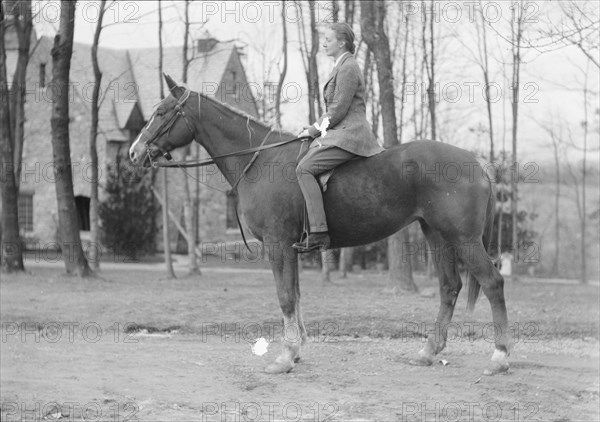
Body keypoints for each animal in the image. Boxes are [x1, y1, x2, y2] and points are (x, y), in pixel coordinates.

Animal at [127, 76, 510, 376]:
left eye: (162, 112)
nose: (134, 152)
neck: (260, 160)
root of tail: (476, 162)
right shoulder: (290, 248)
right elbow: (295, 295)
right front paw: (295, 351)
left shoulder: (277, 244)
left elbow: (284, 297)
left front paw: (284, 357)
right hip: (437, 236)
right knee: (449, 288)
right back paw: (429, 351)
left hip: (464, 239)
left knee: (492, 282)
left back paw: (500, 356)